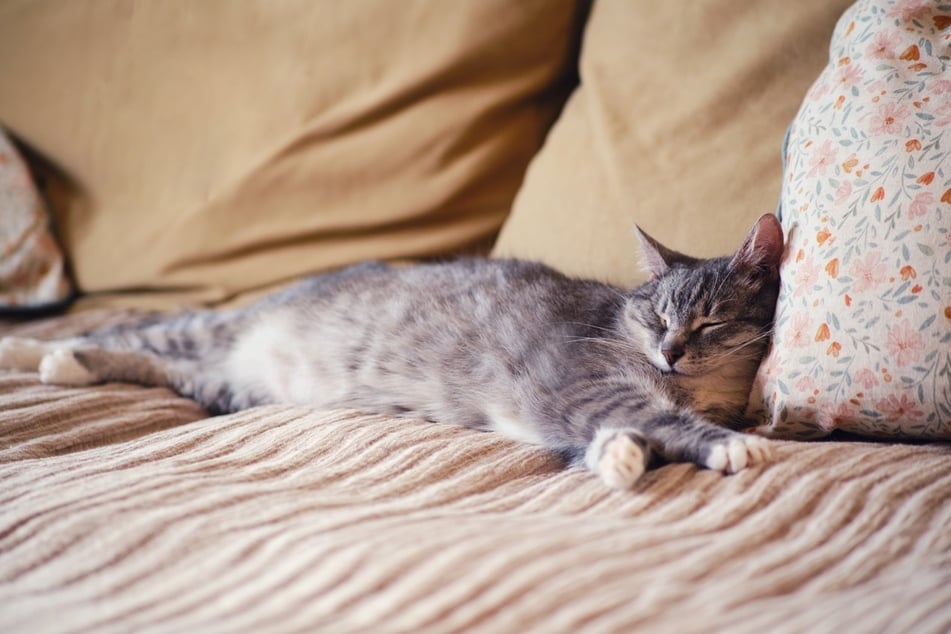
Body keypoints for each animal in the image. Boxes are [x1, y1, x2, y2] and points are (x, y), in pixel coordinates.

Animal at [0, 214, 788, 488]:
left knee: (164, 366)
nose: (670, 352)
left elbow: (620, 437)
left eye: (710, 321)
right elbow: (656, 421)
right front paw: (728, 445)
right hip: (208, 334)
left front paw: (619, 459)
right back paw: (30, 349)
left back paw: (64, 364)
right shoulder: (590, 385)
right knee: (131, 333)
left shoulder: (591, 407)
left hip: (232, 385)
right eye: (656, 316)